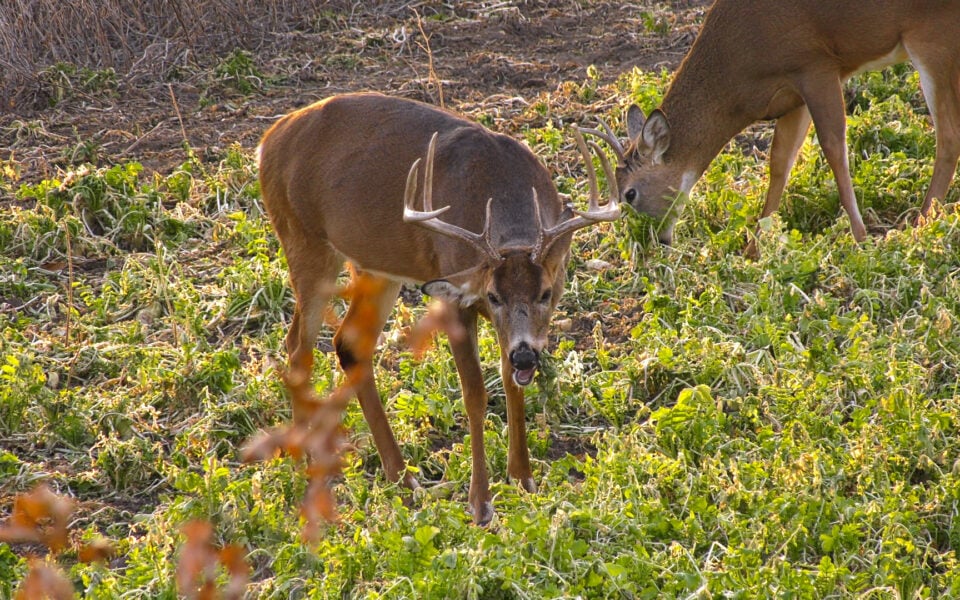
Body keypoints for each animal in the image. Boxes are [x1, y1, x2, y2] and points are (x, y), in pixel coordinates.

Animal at [256, 91, 616, 524]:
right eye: (493, 296)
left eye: (546, 293)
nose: (527, 355)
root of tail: (268, 141)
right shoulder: (454, 296)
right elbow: (474, 392)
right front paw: (480, 502)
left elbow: (510, 381)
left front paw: (522, 479)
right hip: (304, 241)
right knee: (298, 345)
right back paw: (303, 465)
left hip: (375, 265)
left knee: (349, 343)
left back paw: (404, 479)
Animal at [580, 0, 960, 248]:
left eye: (630, 193)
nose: (654, 241)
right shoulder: (790, 95)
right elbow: (780, 163)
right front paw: (753, 247)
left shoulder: (815, 65)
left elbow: (834, 149)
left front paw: (860, 237)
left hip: (931, 36)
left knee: (948, 136)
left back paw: (921, 223)